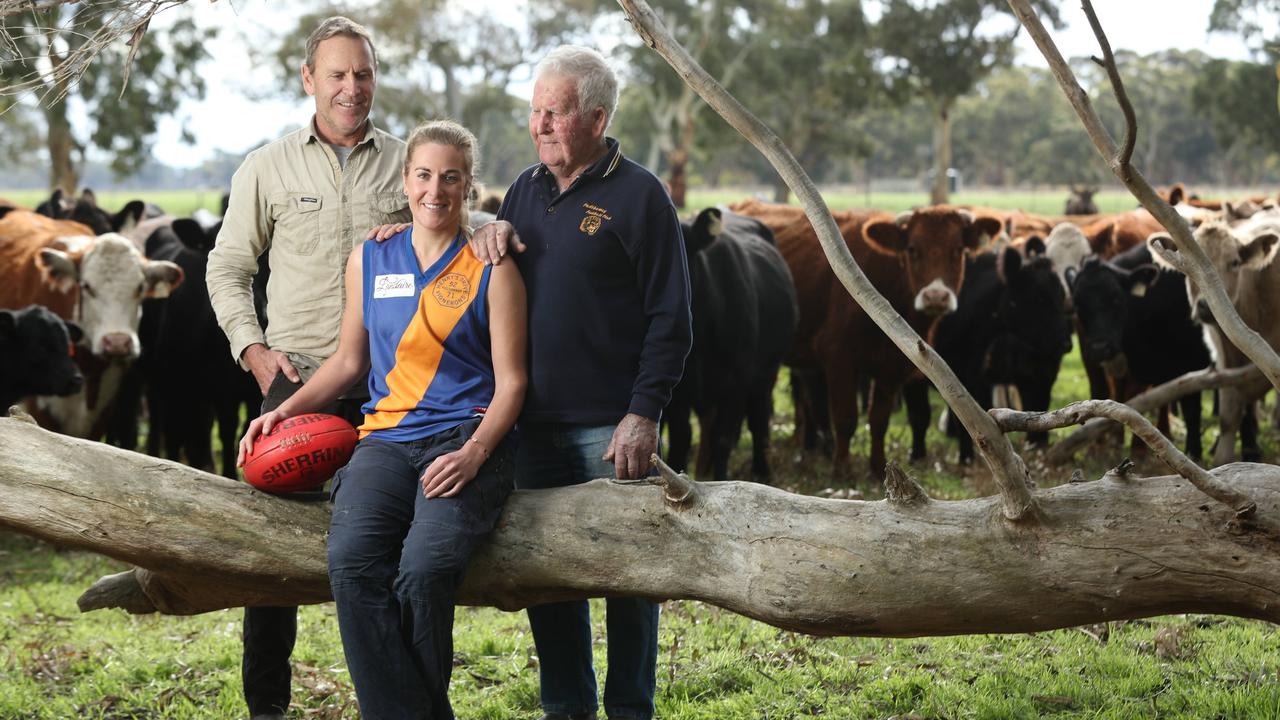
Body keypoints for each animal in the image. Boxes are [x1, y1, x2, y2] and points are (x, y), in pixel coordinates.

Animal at [732, 198, 998, 479]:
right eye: (913, 249)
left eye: (958, 250)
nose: (935, 296)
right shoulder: (838, 357)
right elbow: (846, 418)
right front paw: (842, 468)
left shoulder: (891, 368)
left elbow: (879, 420)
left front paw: (877, 467)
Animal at [1070, 243, 1208, 456]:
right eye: (1077, 305)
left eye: (1117, 299)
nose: (1101, 348)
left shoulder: (1191, 362)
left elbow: (1190, 410)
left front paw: (1193, 452)